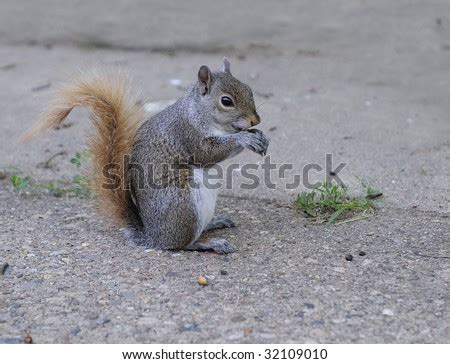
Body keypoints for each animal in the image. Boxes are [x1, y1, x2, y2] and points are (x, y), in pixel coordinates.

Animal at [24, 59, 268, 253]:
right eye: (226, 101)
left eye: (249, 89)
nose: (256, 120)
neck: (198, 113)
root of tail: (152, 236)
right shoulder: (186, 134)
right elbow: (207, 153)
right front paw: (244, 139)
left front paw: (260, 136)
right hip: (183, 204)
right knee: (178, 245)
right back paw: (209, 244)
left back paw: (215, 223)